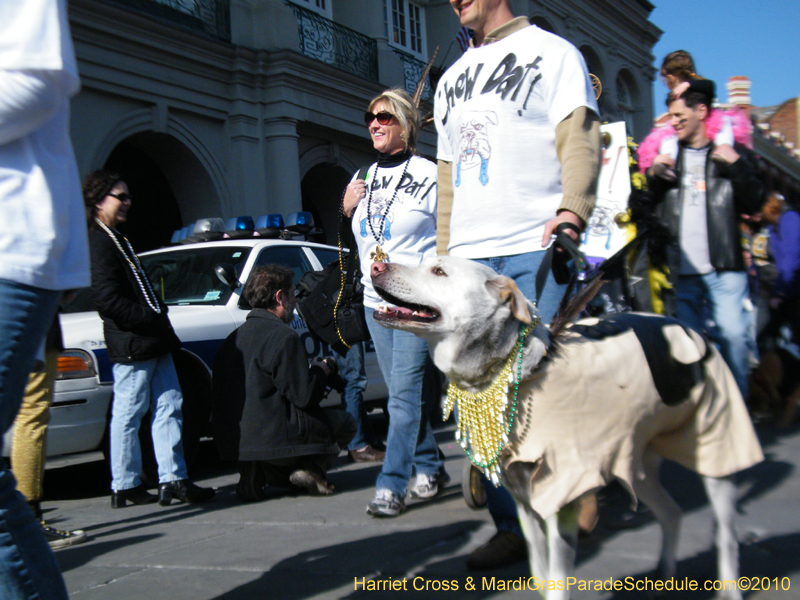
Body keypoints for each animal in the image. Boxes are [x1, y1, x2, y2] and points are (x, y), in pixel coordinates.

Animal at [368, 255, 764, 596]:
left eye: (439, 271)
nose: (375, 264)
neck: (507, 374)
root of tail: (690, 329)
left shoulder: (561, 497)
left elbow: (558, 580)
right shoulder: (525, 501)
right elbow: (540, 573)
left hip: (717, 442)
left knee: (725, 535)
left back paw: (728, 586)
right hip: (634, 460)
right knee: (672, 513)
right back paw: (664, 577)